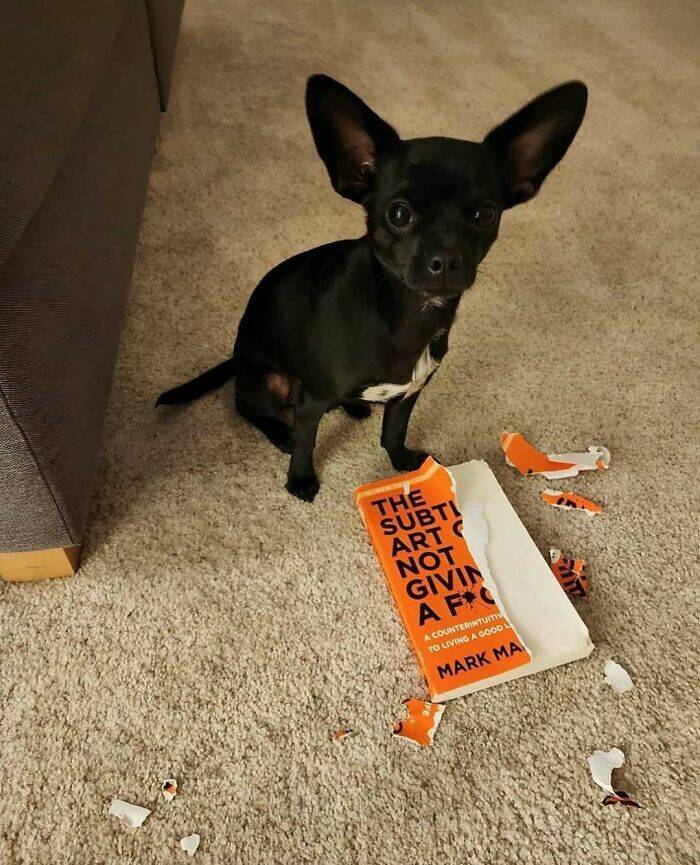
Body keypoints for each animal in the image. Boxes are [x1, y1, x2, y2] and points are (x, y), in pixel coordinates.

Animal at [157, 74, 587, 501]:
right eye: (398, 214)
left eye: (485, 215)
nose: (446, 259)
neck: (408, 312)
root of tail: (237, 355)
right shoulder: (311, 403)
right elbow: (306, 442)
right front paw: (300, 479)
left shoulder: (409, 392)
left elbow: (393, 431)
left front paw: (401, 461)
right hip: (268, 381)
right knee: (246, 407)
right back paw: (280, 430)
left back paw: (354, 407)